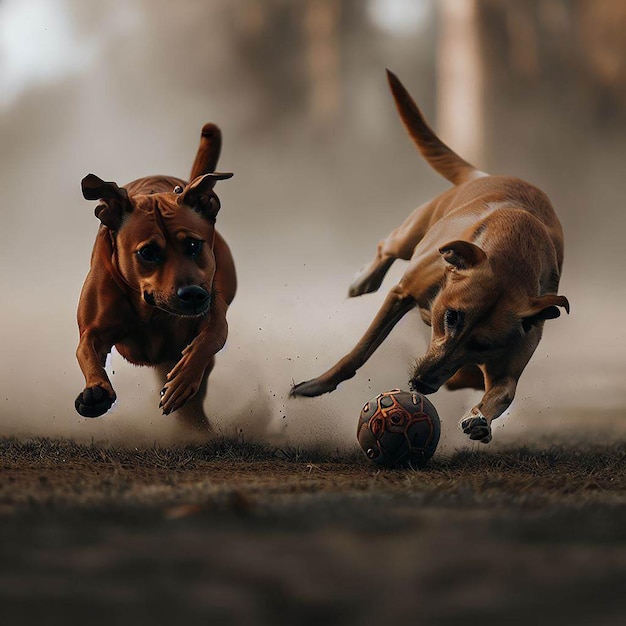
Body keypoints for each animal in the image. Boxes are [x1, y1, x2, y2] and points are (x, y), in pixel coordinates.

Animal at [74, 123, 235, 432]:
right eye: (147, 252)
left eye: (194, 244)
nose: (193, 294)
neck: (150, 311)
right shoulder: (94, 329)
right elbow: (86, 348)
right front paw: (96, 389)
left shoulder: (212, 307)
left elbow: (212, 335)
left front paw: (183, 378)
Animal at [290, 70, 568, 442]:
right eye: (452, 316)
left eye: (484, 343)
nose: (420, 384)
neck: (514, 252)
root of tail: (483, 174)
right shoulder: (401, 294)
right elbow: (360, 351)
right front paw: (317, 384)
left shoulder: (510, 356)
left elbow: (502, 391)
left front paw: (480, 419)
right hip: (413, 233)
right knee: (387, 245)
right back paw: (363, 280)